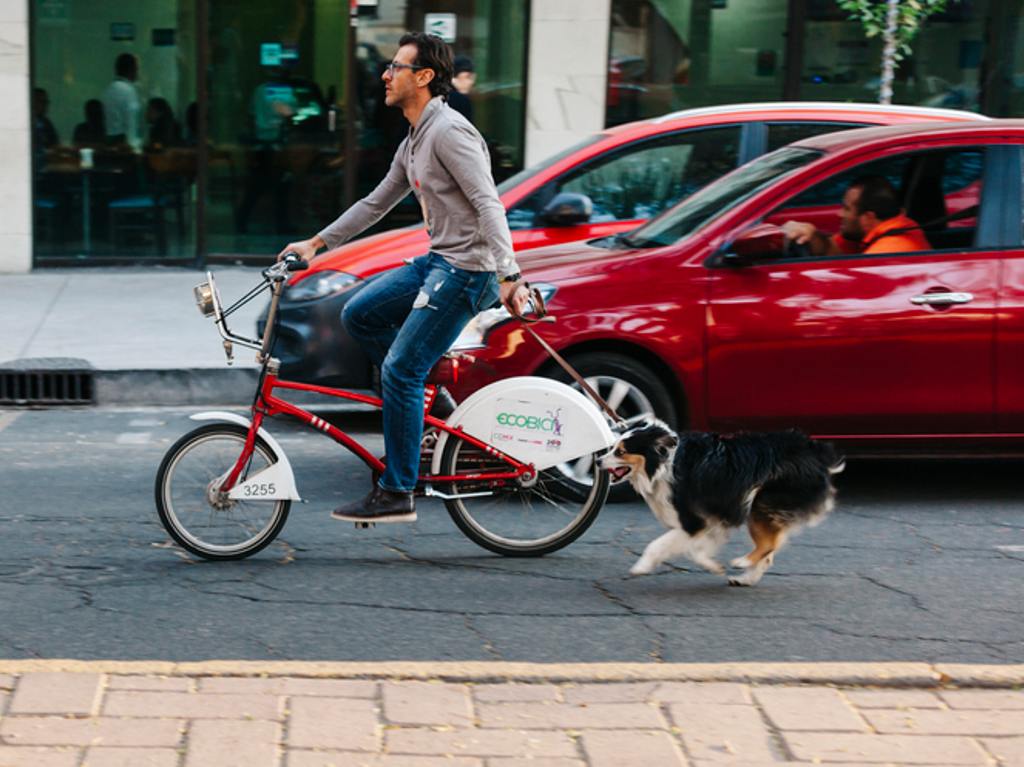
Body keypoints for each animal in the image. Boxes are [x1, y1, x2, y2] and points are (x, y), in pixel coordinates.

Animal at [602, 419, 843, 585]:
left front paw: (641, 567)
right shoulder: (710, 520)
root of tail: (815, 451)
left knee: (767, 546)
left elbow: (657, 545)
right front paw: (713, 565)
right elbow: (697, 550)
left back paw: (742, 562)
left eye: (621, 452)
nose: (597, 461)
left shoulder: (694, 520)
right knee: (768, 553)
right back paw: (745, 579)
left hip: (761, 502)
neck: (662, 464)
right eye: (613, 447)